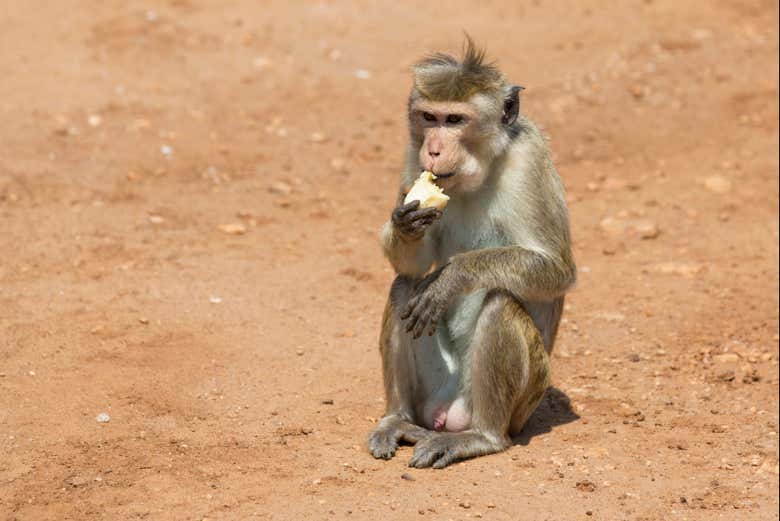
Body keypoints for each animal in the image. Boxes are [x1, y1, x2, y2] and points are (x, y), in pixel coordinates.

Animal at [367, 38, 576, 469]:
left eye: (454, 120)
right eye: (429, 117)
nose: (433, 150)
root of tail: (449, 412)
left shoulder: (529, 159)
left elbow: (556, 269)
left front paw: (453, 276)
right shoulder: (411, 157)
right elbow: (413, 265)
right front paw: (404, 223)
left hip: (521, 402)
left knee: (500, 301)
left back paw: (483, 437)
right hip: (434, 389)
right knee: (403, 287)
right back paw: (398, 419)